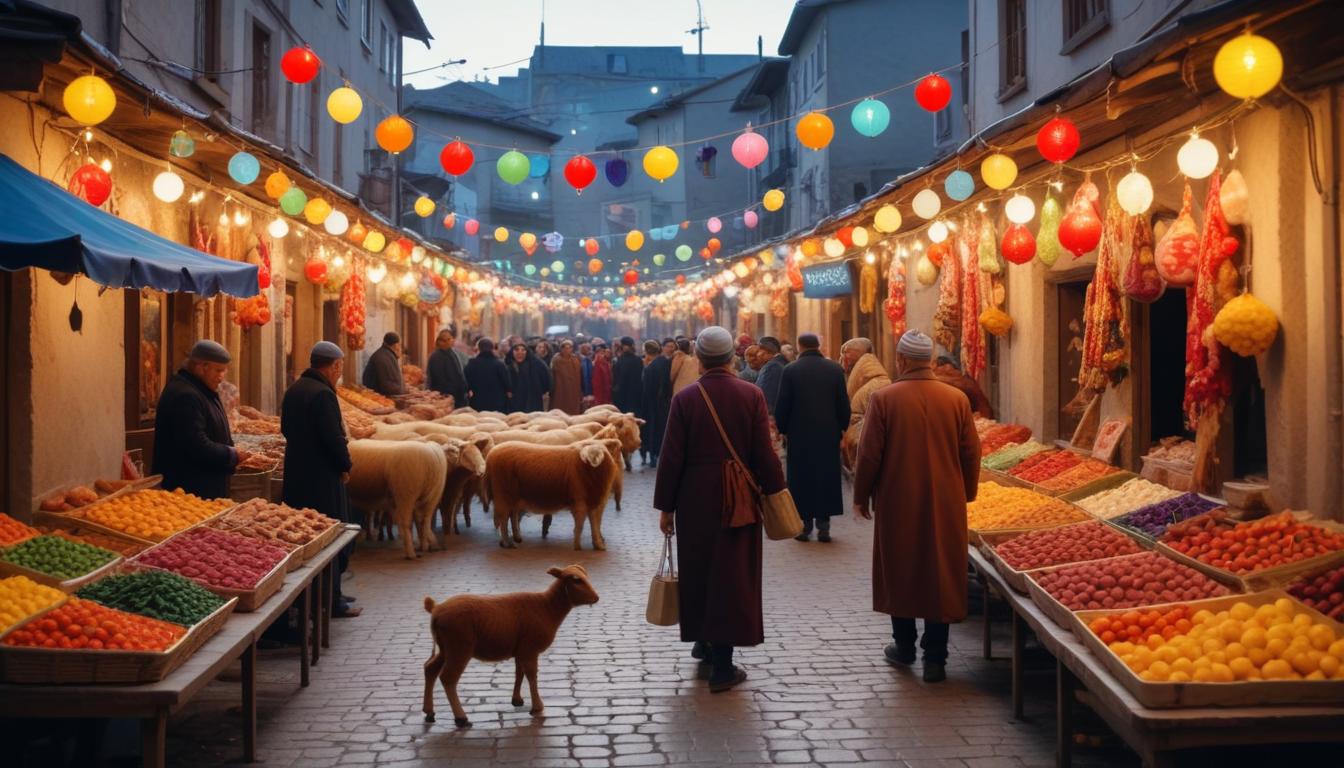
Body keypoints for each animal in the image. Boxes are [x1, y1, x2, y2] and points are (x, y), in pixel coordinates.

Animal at [419, 564, 599, 726]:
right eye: (576, 580)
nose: (596, 598)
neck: (548, 607)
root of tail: (436, 610)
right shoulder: (530, 648)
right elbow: (531, 675)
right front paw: (537, 707)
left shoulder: (521, 649)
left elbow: (519, 673)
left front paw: (517, 700)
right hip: (459, 646)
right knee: (448, 678)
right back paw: (461, 718)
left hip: (445, 647)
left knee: (430, 669)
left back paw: (429, 712)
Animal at [489, 435, 623, 548]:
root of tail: (492, 453)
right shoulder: (581, 503)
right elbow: (581, 525)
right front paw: (578, 546)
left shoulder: (594, 504)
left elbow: (595, 525)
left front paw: (598, 545)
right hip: (503, 496)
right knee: (503, 519)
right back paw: (507, 543)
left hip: (513, 498)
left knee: (512, 516)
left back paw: (516, 539)